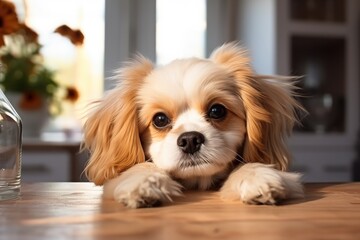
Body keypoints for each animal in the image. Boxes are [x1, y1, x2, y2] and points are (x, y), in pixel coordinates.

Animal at [83, 43, 306, 208]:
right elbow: (138, 168)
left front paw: (256, 175)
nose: (190, 139)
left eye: (217, 111)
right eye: (160, 119)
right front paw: (143, 181)